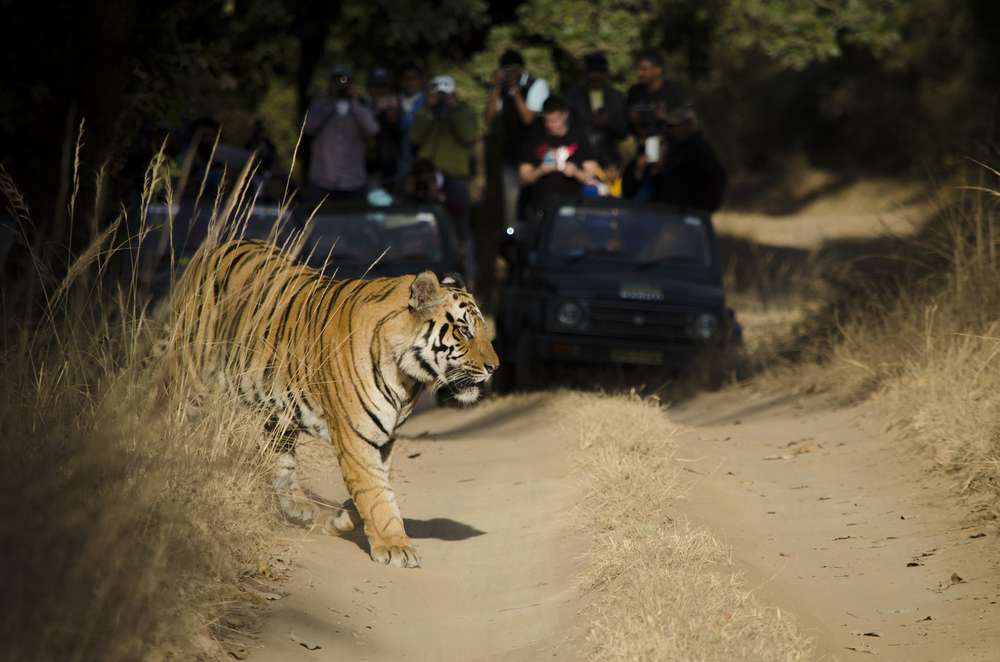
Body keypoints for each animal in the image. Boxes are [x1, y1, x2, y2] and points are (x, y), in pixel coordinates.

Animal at [160, 238, 498, 568]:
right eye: (464, 330)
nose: (495, 367)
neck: (408, 378)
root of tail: (211, 249)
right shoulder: (356, 438)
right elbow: (375, 493)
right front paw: (395, 547)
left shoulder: (383, 438)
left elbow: (377, 488)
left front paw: (341, 520)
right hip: (192, 381)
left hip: (278, 412)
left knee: (280, 457)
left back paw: (297, 506)